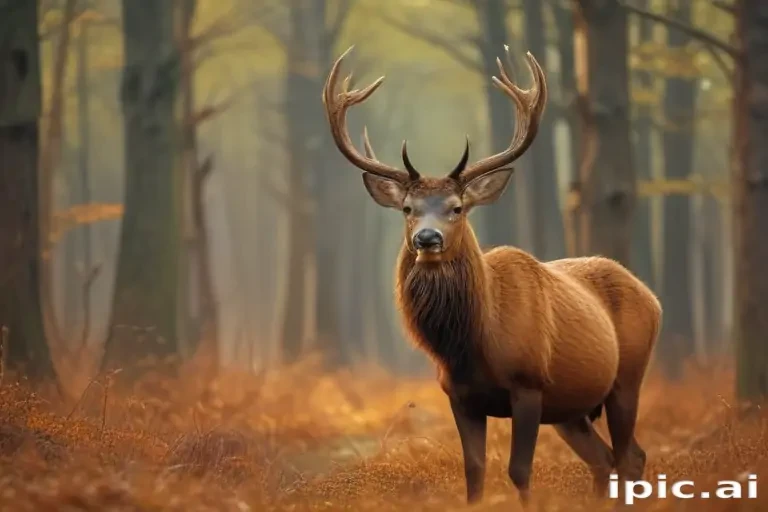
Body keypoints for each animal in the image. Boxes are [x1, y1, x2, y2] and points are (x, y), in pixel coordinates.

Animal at [321, 45, 662, 508]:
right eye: (408, 208)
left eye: (457, 207)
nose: (427, 238)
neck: (473, 343)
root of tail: (652, 296)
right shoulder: (459, 396)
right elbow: (475, 471)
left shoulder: (529, 383)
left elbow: (519, 470)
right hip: (571, 410)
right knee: (605, 460)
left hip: (627, 377)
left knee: (630, 456)